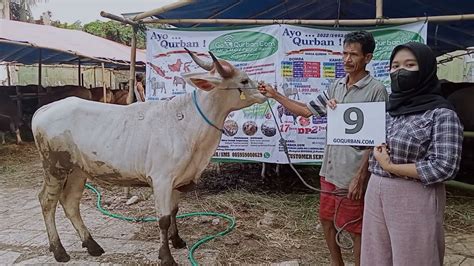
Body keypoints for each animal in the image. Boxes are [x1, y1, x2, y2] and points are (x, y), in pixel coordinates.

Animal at [31, 49, 266, 264]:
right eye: (244, 80)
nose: (265, 91)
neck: (188, 124)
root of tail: (46, 107)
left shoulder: (178, 179)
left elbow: (174, 211)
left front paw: (177, 240)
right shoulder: (161, 179)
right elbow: (163, 219)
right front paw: (166, 257)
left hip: (78, 170)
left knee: (70, 202)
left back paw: (92, 244)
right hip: (55, 166)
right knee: (47, 201)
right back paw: (59, 250)